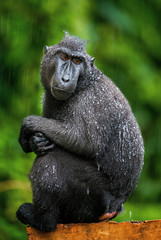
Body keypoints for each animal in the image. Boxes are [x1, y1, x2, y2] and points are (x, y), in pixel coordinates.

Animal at [16, 32, 144, 232]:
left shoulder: (93, 100)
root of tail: (116, 207)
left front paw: (29, 125)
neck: (84, 83)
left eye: (77, 61)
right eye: (63, 57)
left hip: (94, 198)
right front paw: (36, 142)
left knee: (50, 161)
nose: (66, 78)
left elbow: (86, 143)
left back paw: (42, 221)